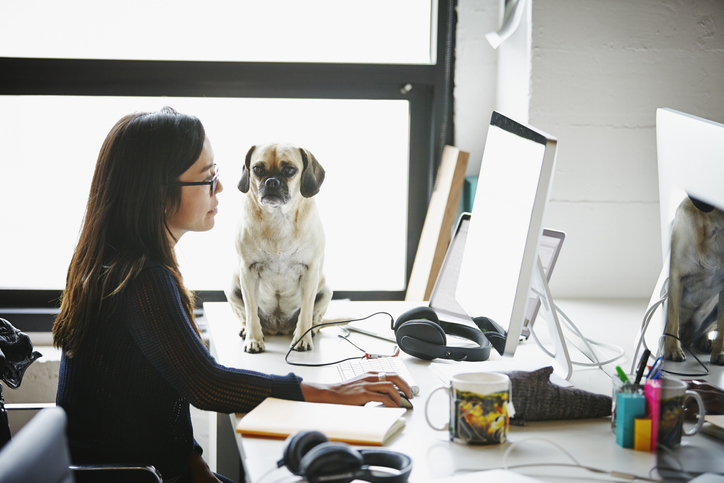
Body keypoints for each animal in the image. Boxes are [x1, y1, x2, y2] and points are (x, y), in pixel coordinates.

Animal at [225, 142, 332, 354]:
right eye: (257, 169)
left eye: (290, 170)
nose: (272, 182)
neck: (278, 218)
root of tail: (278, 327)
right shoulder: (247, 272)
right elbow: (251, 312)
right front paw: (253, 340)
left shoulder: (310, 273)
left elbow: (306, 312)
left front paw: (302, 338)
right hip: (232, 287)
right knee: (245, 315)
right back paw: (246, 330)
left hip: (325, 290)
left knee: (315, 316)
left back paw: (312, 331)